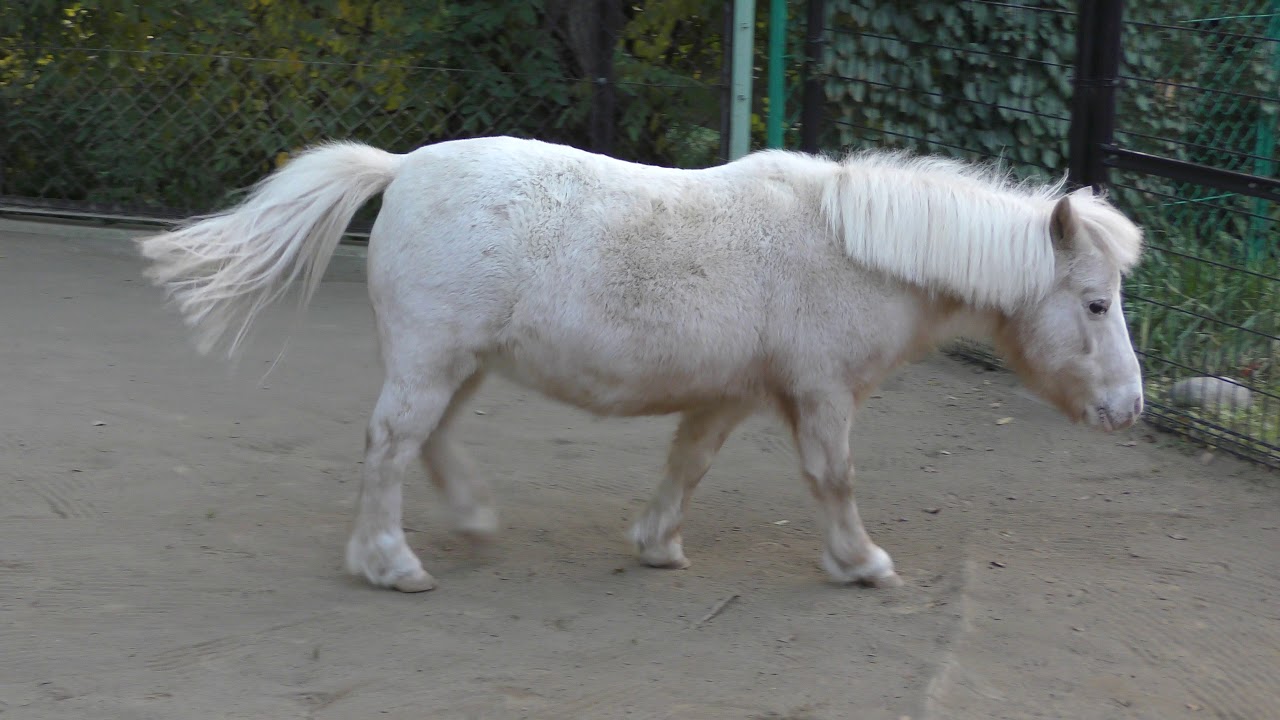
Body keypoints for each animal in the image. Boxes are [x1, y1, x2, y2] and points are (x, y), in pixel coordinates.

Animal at [136, 136, 1145, 593]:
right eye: (1097, 304)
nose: (1130, 408)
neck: (846, 249)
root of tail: (404, 165)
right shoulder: (820, 395)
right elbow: (835, 479)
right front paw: (862, 562)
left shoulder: (736, 396)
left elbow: (686, 466)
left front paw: (657, 543)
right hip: (431, 361)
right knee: (389, 446)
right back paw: (389, 562)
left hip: (459, 363)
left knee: (431, 441)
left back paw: (469, 519)